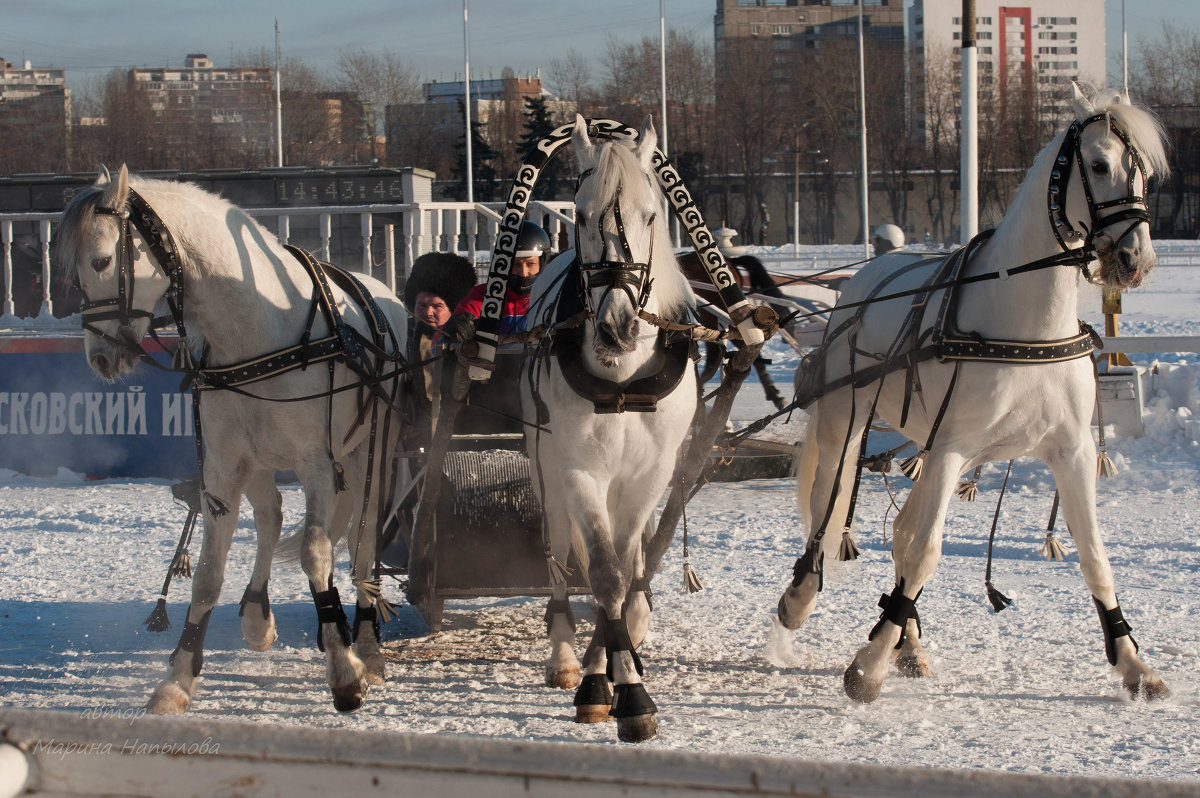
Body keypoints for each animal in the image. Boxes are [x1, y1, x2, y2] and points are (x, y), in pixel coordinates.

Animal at [57, 164, 408, 710]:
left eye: (102, 260)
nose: (100, 358)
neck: (255, 328)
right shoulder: (223, 466)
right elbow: (206, 577)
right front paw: (178, 679)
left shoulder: (316, 462)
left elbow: (316, 553)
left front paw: (344, 668)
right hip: (260, 460)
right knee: (271, 517)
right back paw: (258, 616)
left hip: (369, 450)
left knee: (362, 541)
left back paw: (367, 647)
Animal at [520, 115, 700, 744]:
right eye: (578, 213)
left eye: (650, 215)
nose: (618, 328)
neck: (622, 377)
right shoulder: (578, 470)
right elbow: (602, 574)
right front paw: (611, 689)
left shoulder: (650, 474)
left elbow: (623, 573)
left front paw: (622, 678)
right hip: (547, 470)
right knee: (557, 556)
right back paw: (565, 656)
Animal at [777, 84, 1171, 700]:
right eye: (1100, 164)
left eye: (1146, 174)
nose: (1134, 259)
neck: (1027, 328)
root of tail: (869, 274)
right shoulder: (952, 447)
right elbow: (925, 552)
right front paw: (870, 663)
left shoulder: (1070, 451)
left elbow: (1094, 556)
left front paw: (1133, 663)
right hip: (852, 421)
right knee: (830, 506)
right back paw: (802, 596)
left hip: (930, 445)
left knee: (900, 528)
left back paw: (909, 641)